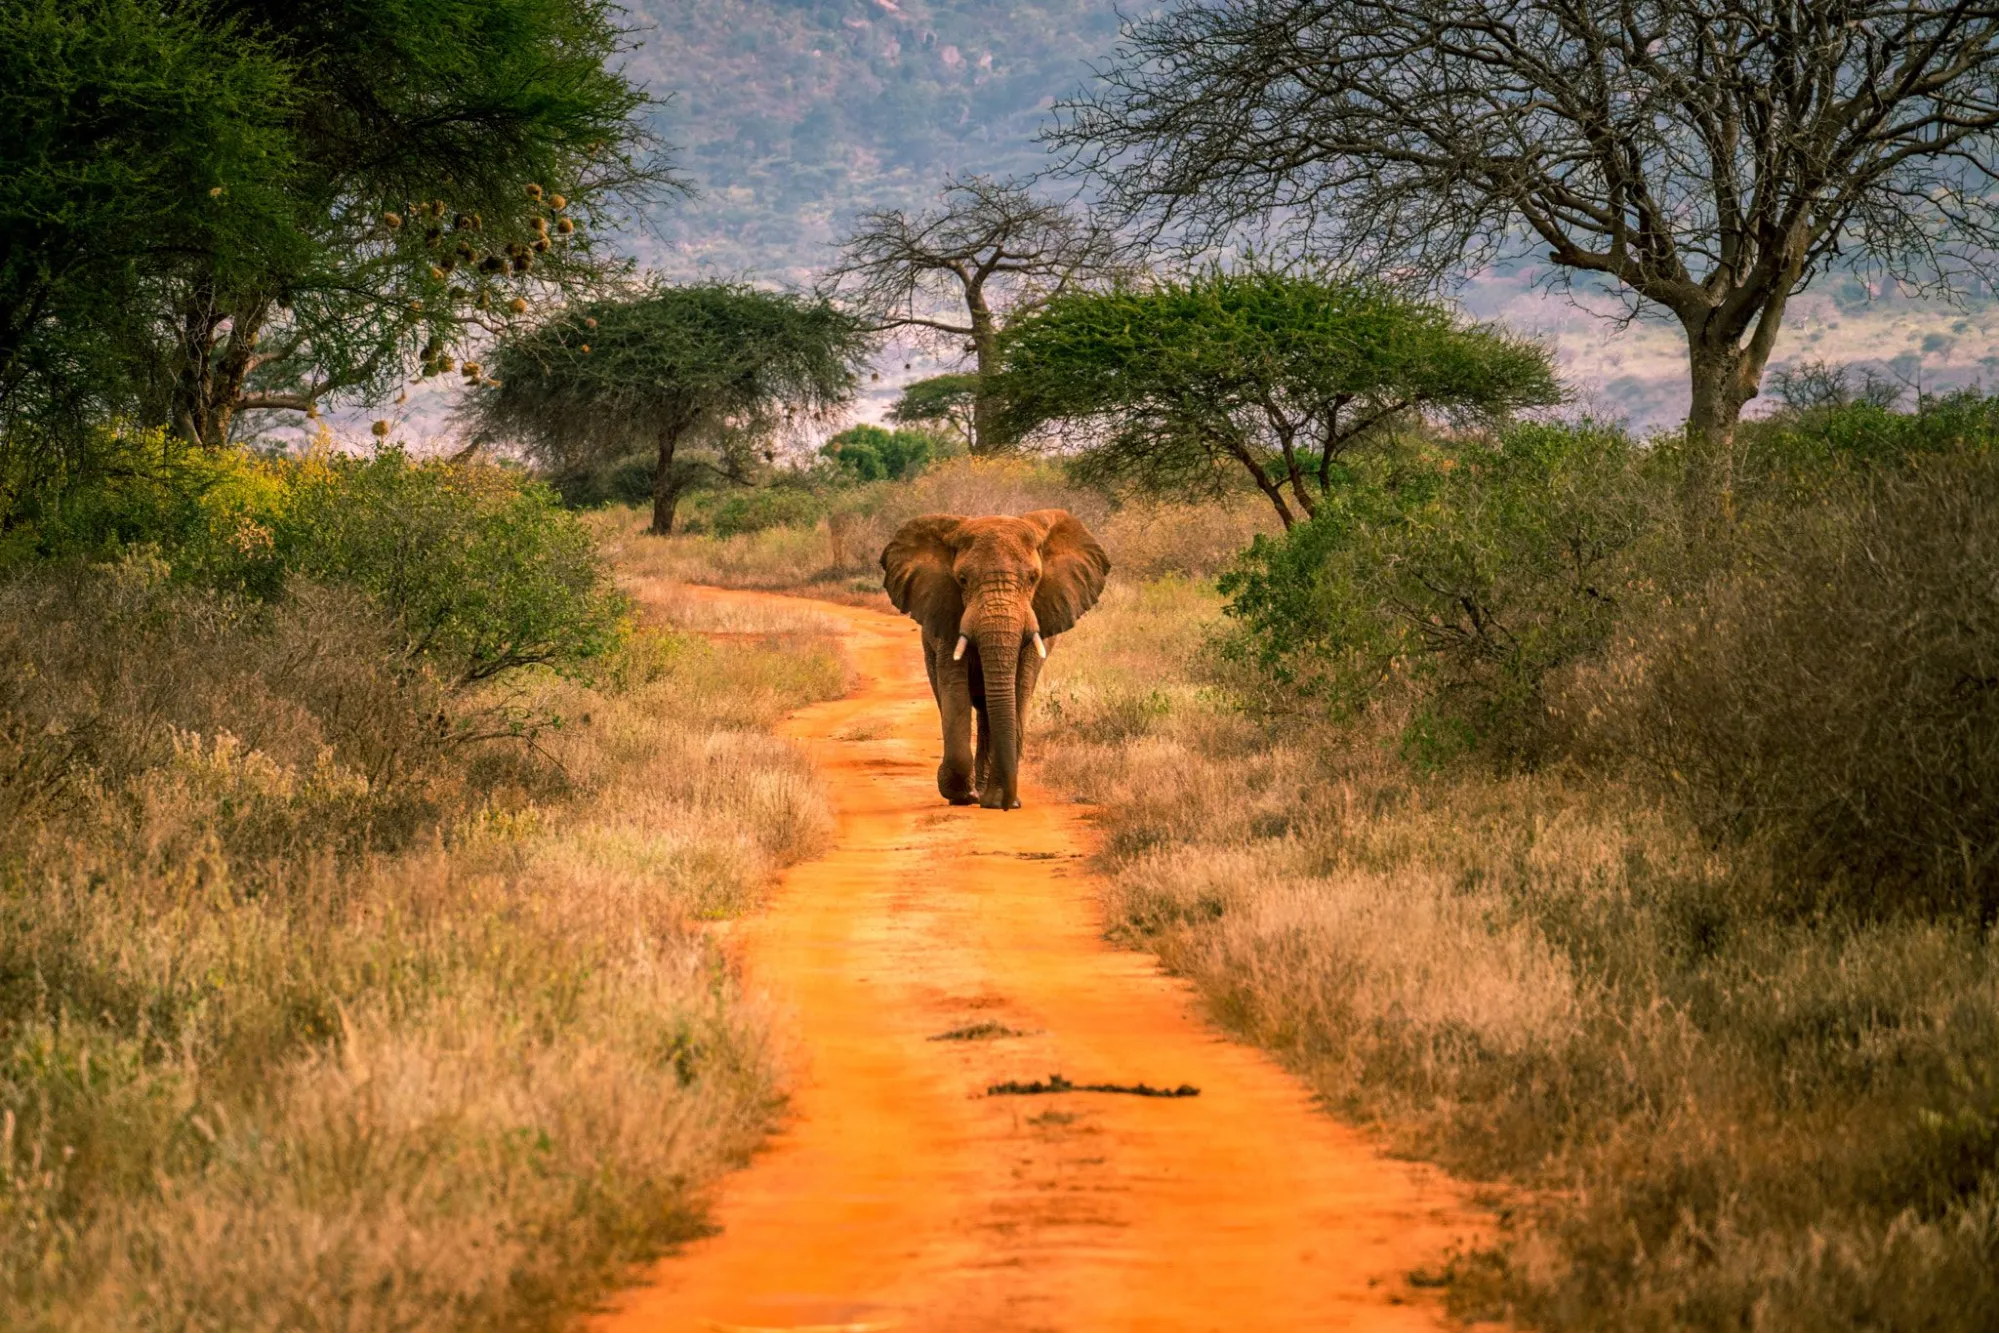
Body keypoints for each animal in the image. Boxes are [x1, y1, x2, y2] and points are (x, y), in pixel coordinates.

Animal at [887, 508, 1111, 804]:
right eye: (962, 580)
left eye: (1033, 579)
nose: (1006, 804)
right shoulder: (947, 615)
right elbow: (954, 689)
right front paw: (962, 795)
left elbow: (1019, 689)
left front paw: (999, 801)